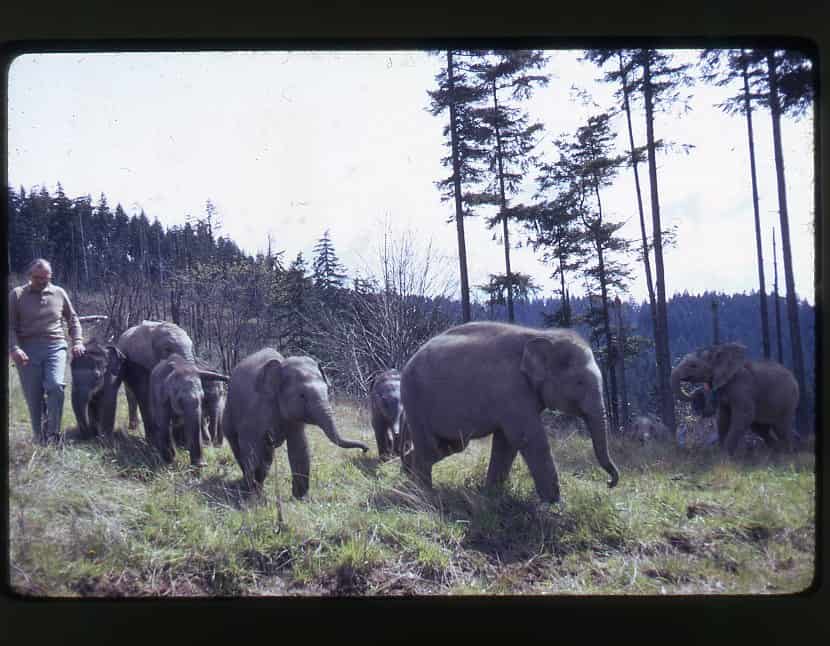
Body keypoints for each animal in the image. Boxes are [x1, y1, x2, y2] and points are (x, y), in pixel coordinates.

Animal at [223, 348, 369, 497]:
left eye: (327, 391)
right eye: (302, 395)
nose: (365, 449)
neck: (282, 365)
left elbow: (299, 446)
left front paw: (301, 498)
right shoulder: (253, 410)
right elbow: (251, 448)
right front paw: (250, 496)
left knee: (267, 453)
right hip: (228, 414)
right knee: (239, 447)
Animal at [399, 321, 619, 504]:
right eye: (580, 382)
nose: (609, 483)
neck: (545, 335)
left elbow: (506, 442)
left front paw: (492, 495)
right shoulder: (512, 389)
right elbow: (527, 438)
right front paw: (554, 505)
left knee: (449, 446)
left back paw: (409, 475)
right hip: (414, 400)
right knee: (429, 447)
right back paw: (423, 493)